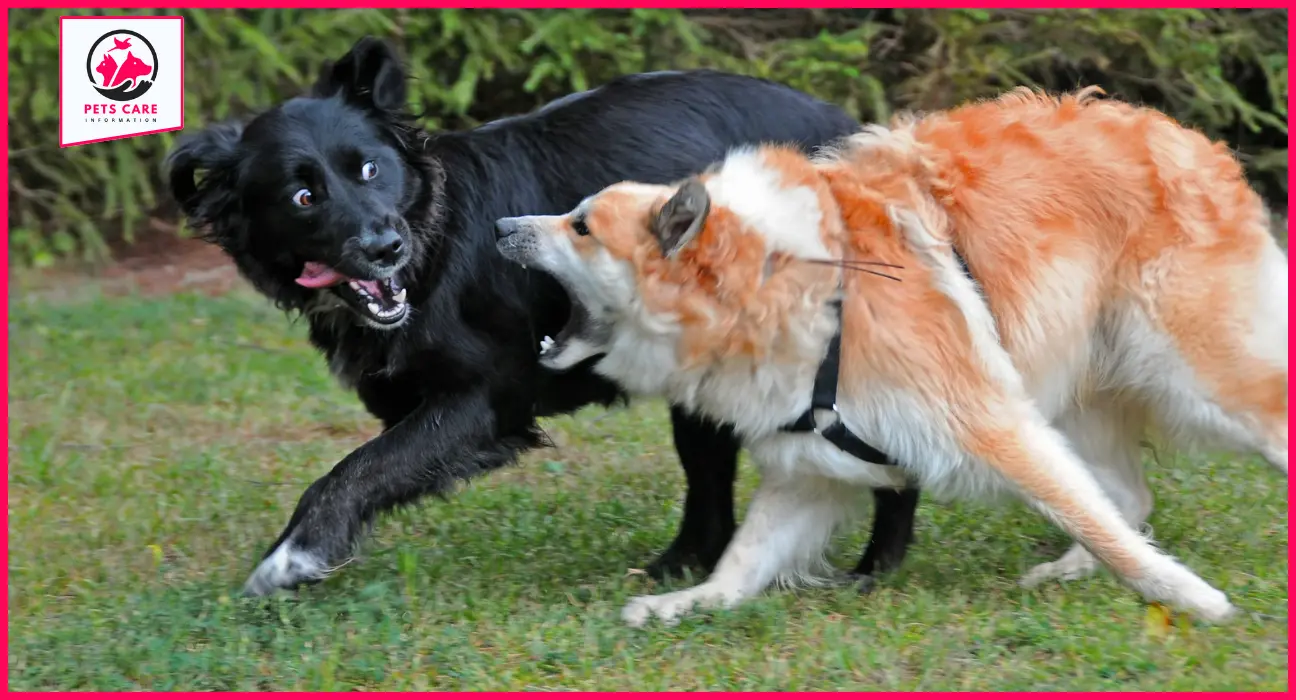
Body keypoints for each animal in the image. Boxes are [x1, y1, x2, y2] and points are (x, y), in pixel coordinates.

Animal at [167, 36, 917, 596]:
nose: (384, 247)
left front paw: (290, 558)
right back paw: (676, 567)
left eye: (371, 170)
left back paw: (874, 569)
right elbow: (378, 465)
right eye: (302, 196)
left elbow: (353, 470)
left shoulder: (488, 398)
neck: (434, 243)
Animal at [492, 88, 1285, 630]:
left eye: (581, 225)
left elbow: (1093, 521)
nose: (500, 226)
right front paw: (682, 602)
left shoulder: (991, 425)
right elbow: (742, 560)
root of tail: (1184, 137)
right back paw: (1068, 571)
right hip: (1075, 394)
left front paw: (1194, 600)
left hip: (1203, 383)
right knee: (1130, 496)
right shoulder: (809, 469)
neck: (791, 283)